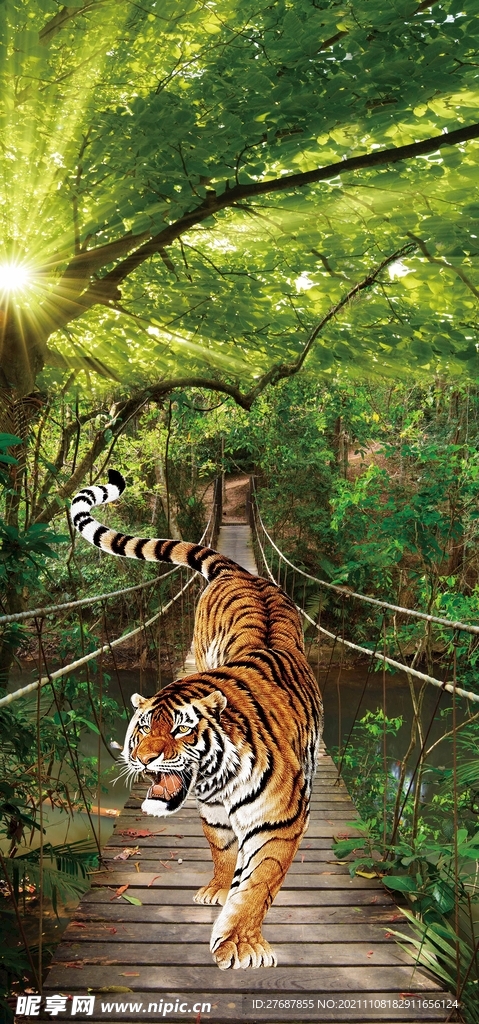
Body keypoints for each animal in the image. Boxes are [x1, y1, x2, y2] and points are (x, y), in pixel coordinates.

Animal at [70, 469, 323, 971]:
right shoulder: (214, 813)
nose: (145, 760)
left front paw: (240, 943)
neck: (218, 780)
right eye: (142, 730)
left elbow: (259, 882)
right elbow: (223, 852)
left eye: (181, 729)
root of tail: (242, 572)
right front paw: (218, 891)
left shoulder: (280, 821)